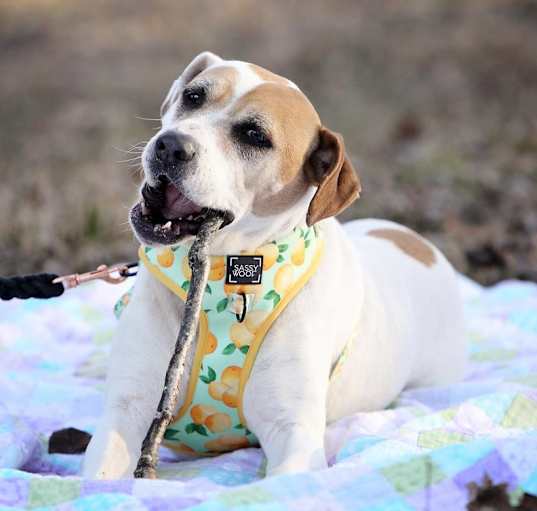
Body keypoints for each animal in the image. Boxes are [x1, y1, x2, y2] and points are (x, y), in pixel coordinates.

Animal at [81, 52, 462, 480]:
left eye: (254, 135)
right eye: (193, 96)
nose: (171, 145)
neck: (225, 275)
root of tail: (415, 239)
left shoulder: (293, 433)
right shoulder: (126, 410)